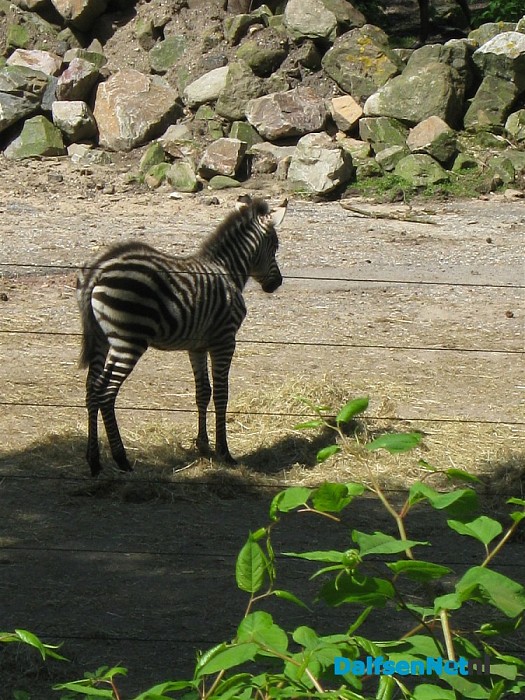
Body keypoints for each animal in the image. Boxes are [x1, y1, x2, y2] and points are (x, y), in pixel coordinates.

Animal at [77, 196, 287, 476]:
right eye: (274, 246)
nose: (277, 284)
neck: (227, 270)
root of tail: (99, 269)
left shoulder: (197, 346)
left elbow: (203, 392)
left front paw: (203, 447)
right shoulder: (224, 340)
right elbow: (221, 393)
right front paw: (224, 452)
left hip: (102, 338)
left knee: (92, 388)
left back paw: (94, 461)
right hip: (128, 341)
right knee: (106, 392)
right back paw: (121, 459)